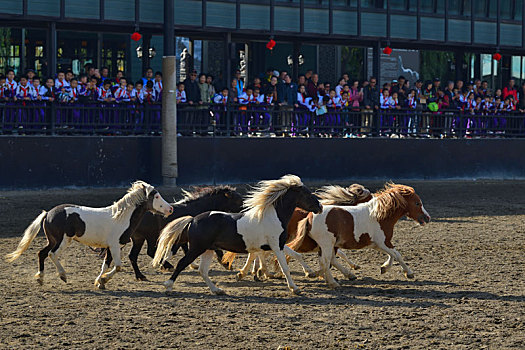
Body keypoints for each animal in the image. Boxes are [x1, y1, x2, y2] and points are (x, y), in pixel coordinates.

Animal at [152, 175, 324, 296]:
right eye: (307, 194)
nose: (320, 207)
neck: (273, 216)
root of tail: (193, 219)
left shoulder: (273, 245)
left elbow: (289, 256)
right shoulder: (276, 246)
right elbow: (286, 267)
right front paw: (295, 288)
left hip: (207, 250)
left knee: (202, 270)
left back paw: (217, 290)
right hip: (197, 248)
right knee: (182, 263)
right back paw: (168, 286)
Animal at [294, 183, 430, 288]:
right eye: (417, 203)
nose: (427, 218)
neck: (379, 215)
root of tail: (310, 216)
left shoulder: (378, 244)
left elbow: (392, 255)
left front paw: (384, 268)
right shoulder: (383, 242)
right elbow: (397, 255)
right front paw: (409, 273)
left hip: (328, 246)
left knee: (328, 261)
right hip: (326, 244)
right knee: (325, 262)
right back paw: (332, 282)